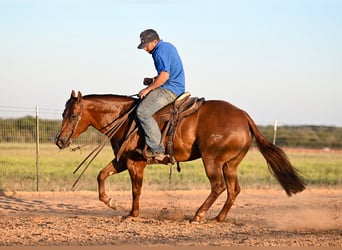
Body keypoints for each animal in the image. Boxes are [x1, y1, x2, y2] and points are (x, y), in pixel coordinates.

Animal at [55, 90, 304, 223]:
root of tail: (244, 116)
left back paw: (198, 215)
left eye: (74, 115)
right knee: (234, 189)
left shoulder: (135, 163)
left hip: (212, 161)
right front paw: (111, 202)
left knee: (218, 186)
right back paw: (219, 218)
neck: (127, 119)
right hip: (229, 164)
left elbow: (136, 190)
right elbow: (101, 175)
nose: (60, 140)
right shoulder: (122, 161)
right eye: (63, 112)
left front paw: (133, 214)